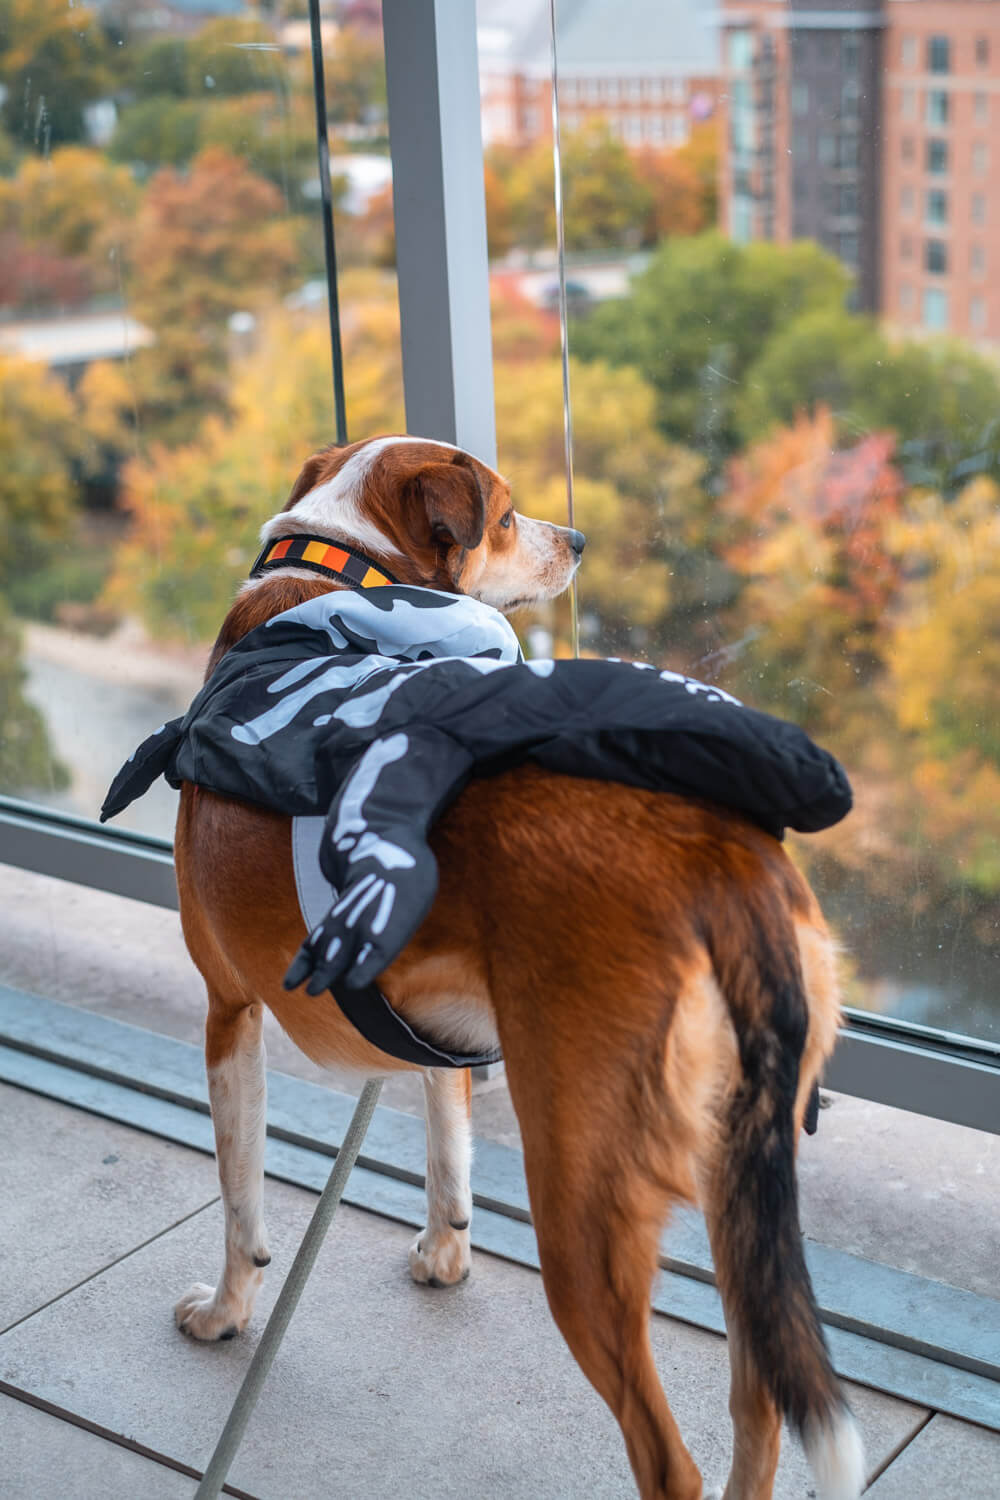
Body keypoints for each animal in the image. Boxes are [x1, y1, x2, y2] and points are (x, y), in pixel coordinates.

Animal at [167, 435, 863, 1500]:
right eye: (503, 517)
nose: (578, 540)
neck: (339, 576)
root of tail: (721, 862)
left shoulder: (227, 1010)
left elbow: (241, 1201)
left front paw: (226, 1312)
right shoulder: (431, 1022)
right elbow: (446, 1141)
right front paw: (444, 1252)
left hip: (583, 1211)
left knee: (672, 1462)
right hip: (736, 1179)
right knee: (760, 1407)